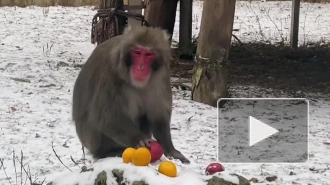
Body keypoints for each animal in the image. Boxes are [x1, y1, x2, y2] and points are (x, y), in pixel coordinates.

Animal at [72, 25, 191, 164]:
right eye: (137, 52)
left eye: (149, 54)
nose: (140, 67)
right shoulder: (111, 74)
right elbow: (106, 118)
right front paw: (140, 140)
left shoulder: (162, 75)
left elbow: (158, 115)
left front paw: (171, 150)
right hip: (93, 141)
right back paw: (110, 152)